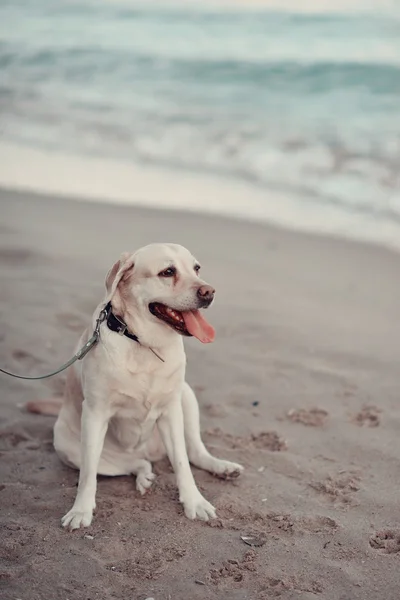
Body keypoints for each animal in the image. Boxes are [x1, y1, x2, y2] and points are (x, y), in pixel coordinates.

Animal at [28, 244, 242, 528]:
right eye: (168, 272)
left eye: (196, 268)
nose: (209, 292)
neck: (144, 343)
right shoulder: (95, 414)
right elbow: (87, 476)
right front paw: (80, 511)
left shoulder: (171, 410)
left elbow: (182, 463)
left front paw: (194, 502)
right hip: (69, 448)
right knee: (133, 464)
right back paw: (144, 476)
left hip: (186, 396)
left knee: (195, 452)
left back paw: (222, 467)